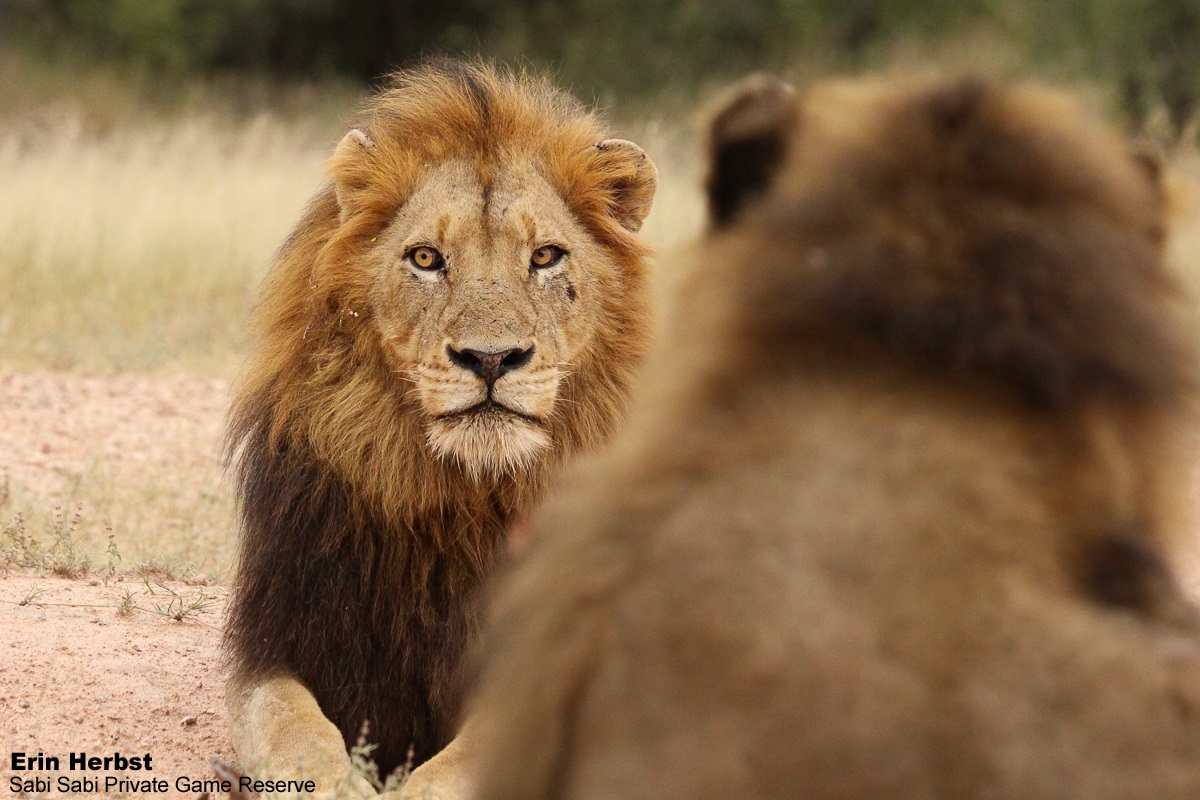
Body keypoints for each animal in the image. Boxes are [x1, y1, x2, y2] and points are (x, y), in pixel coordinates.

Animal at [222, 59, 656, 798]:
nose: (491, 358)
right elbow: (289, 724)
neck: (461, 500)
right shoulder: (282, 642)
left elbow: (470, 756)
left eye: (546, 257)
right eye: (425, 259)